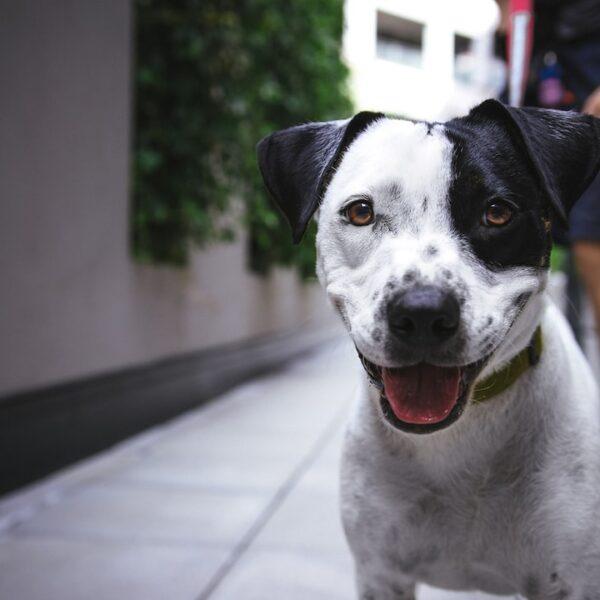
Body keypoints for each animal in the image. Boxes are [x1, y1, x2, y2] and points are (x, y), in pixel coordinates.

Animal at [255, 99, 600, 600]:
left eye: (498, 213)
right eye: (361, 212)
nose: (421, 313)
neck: (460, 437)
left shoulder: (572, 580)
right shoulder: (381, 573)